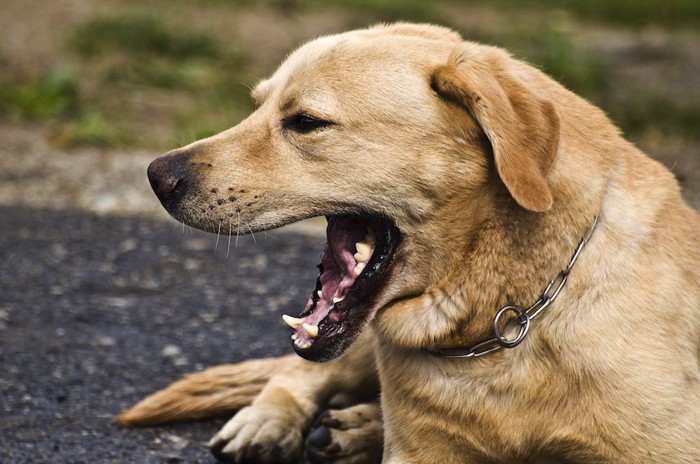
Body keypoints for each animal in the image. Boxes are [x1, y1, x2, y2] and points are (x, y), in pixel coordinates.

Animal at [116, 23, 700, 462]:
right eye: (256, 106)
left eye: (306, 122)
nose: (156, 176)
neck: (507, 320)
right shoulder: (420, 451)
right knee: (296, 372)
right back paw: (271, 421)